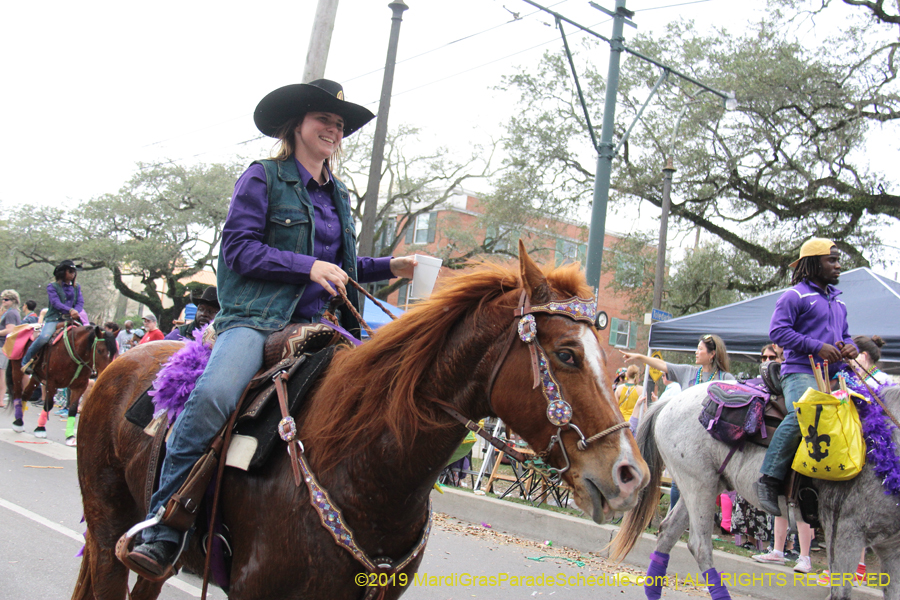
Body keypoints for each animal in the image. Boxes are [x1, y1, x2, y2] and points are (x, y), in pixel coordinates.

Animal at [612, 382, 900, 596]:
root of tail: (672, 400)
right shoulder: (845, 533)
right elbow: (841, 590)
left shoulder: (890, 546)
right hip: (699, 486)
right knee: (699, 545)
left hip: (701, 485)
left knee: (668, 532)